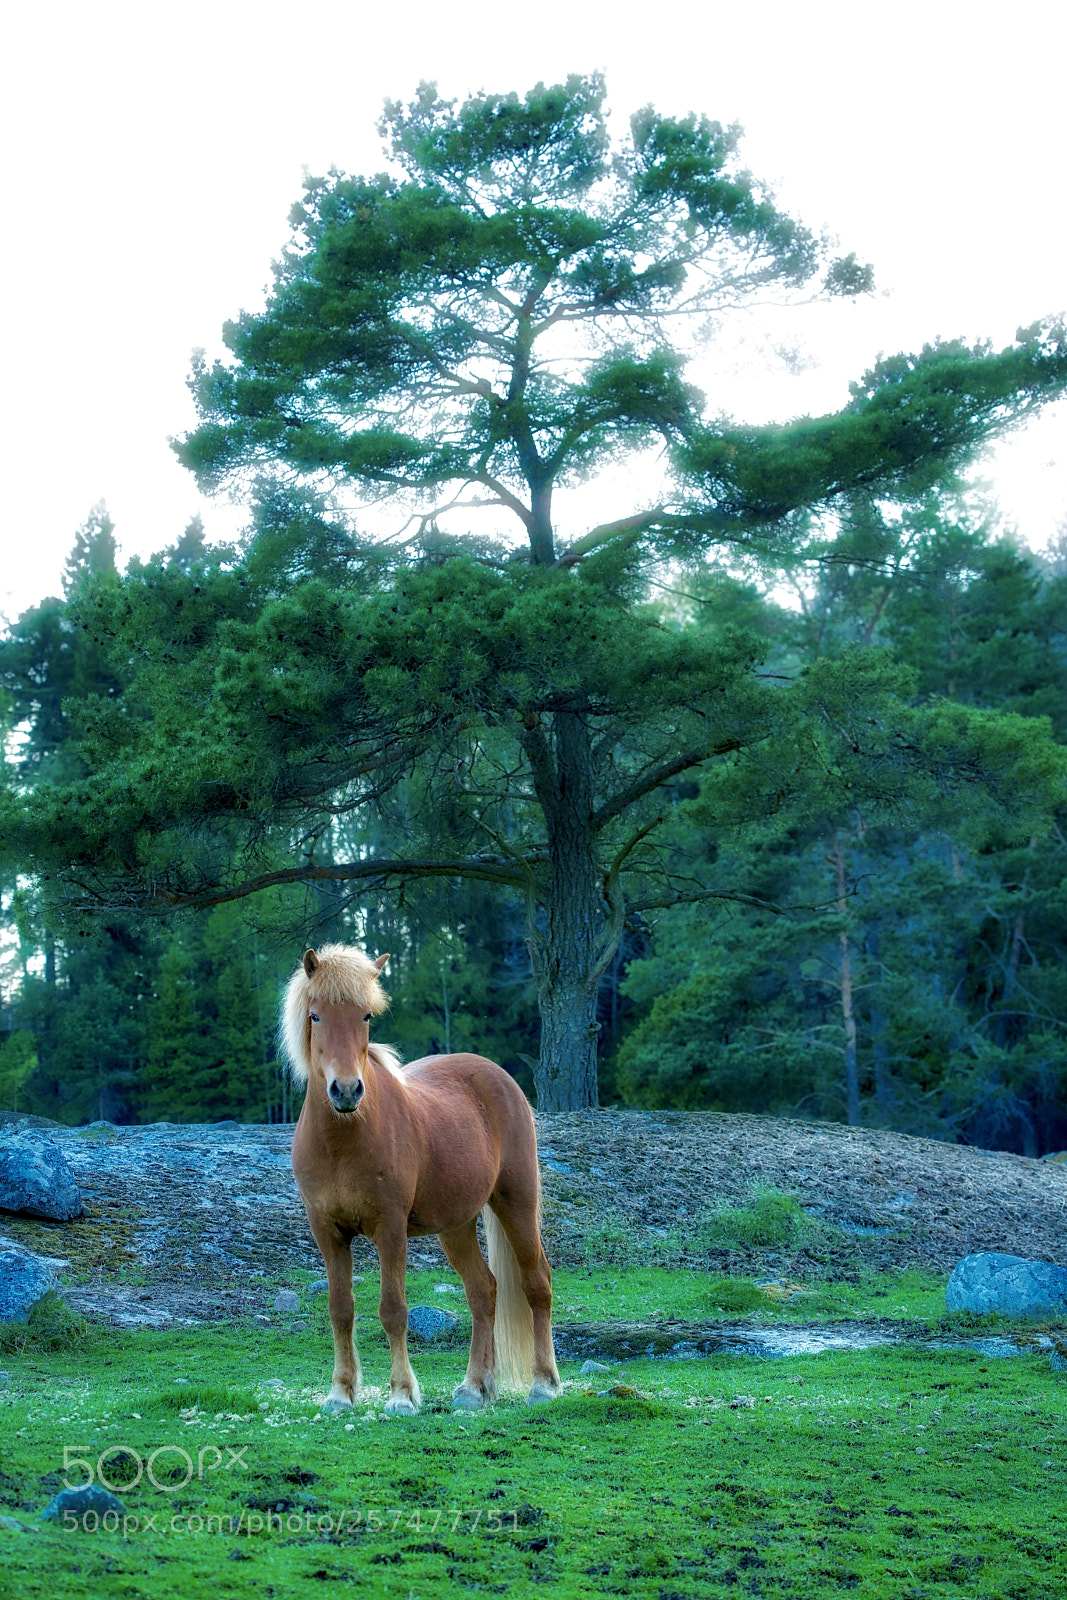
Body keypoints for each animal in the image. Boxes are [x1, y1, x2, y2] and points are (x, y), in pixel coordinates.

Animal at [282, 944, 562, 1415]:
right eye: (315, 1016)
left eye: (366, 1016)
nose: (346, 1090)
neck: (343, 1140)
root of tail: (498, 1077)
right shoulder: (327, 1231)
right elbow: (341, 1309)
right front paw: (340, 1393)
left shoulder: (390, 1228)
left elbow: (393, 1310)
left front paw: (401, 1396)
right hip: (457, 1225)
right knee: (483, 1291)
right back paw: (474, 1388)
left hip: (516, 1203)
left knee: (536, 1284)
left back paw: (543, 1384)